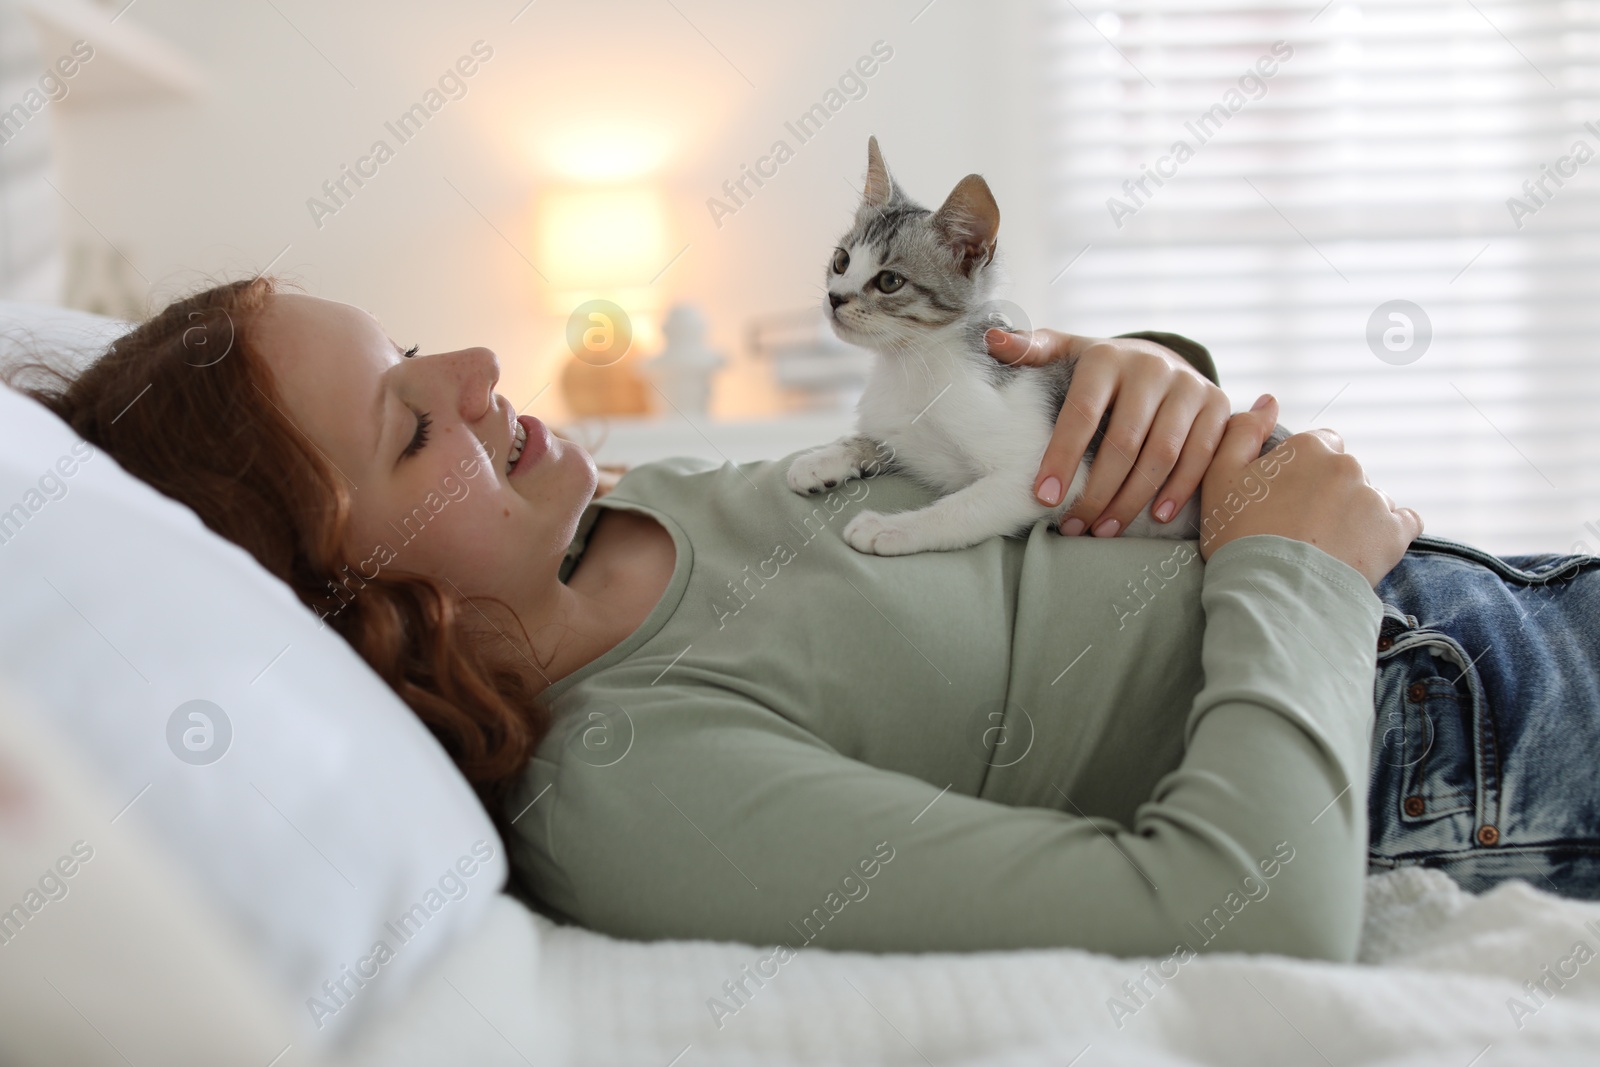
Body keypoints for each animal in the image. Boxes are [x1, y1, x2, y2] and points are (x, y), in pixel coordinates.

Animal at [780, 135, 1292, 559]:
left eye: (889, 281)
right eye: (841, 261)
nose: (835, 297)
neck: (912, 364)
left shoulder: (1047, 476)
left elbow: (965, 505)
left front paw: (894, 529)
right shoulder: (904, 434)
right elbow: (879, 439)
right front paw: (824, 458)